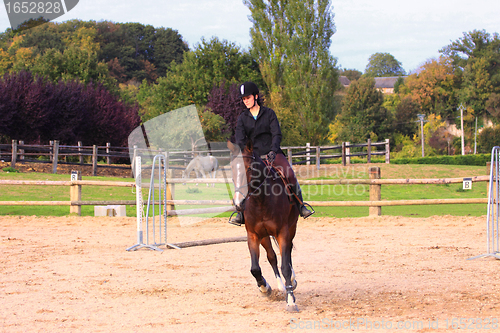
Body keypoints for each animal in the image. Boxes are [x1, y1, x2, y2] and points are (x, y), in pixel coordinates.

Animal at [228, 139, 298, 310]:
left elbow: (285, 266)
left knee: (287, 253)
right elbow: (255, 268)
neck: (261, 201)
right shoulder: (253, 235)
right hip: (265, 236)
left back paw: (291, 282)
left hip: (291, 229)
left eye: (249, 168)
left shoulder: (283, 232)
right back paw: (280, 286)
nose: (238, 203)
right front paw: (265, 288)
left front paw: (291, 301)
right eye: (232, 168)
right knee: (272, 256)